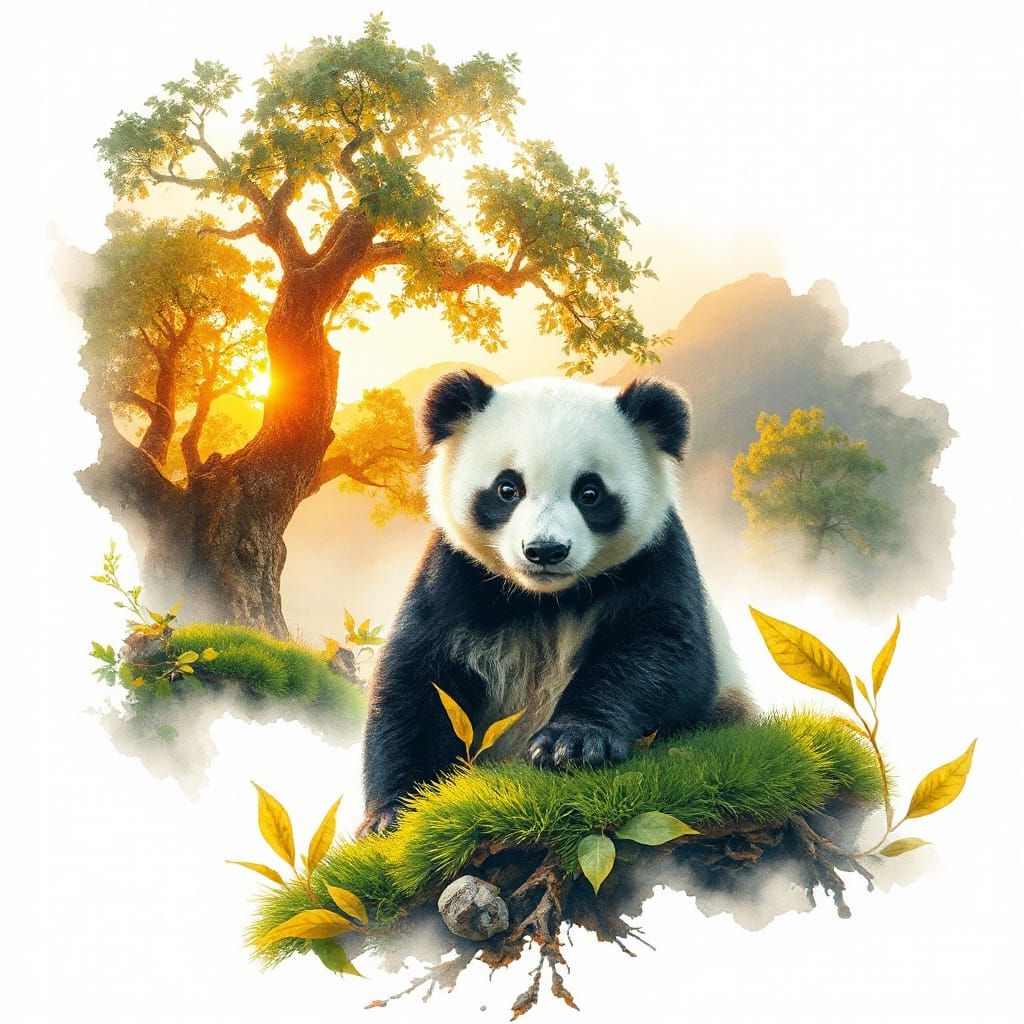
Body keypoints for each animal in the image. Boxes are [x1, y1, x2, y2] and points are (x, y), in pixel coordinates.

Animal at [357, 370, 750, 836]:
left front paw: (572, 742)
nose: (545, 550)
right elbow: (417, 679)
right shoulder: (455, 574)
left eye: (590, 492)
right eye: (507, 488)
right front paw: (391, 814)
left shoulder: (656, 559)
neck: (546, 598)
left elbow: (662, 651)